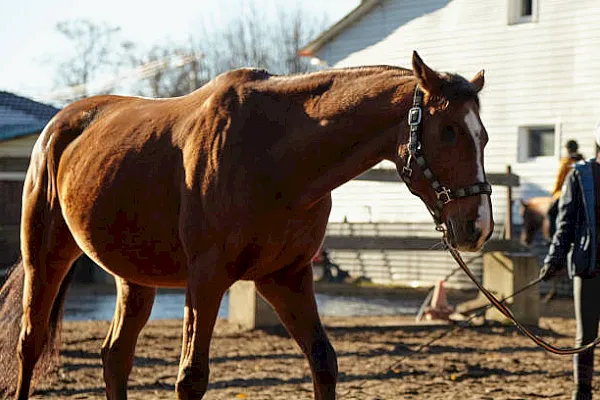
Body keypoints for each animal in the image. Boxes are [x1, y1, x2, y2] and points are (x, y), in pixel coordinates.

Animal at [0, 51, 492, 398]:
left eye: (483, 136)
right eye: (448, 131)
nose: (478, 227)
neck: (273, 153)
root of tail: (58, 127)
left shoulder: (286, 278)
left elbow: (323, 363)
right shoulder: (205, 279)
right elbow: (191, 379)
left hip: (134, 277)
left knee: (115, 357)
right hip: (46, 257)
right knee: (30, 343)